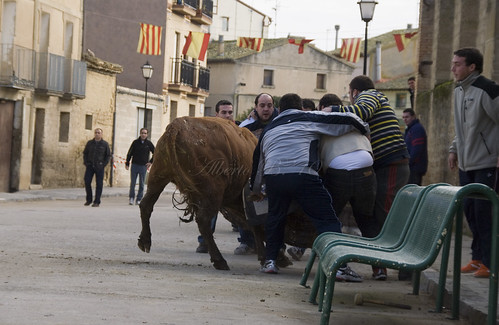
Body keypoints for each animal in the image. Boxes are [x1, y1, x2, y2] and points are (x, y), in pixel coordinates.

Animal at [139, 116, 260, 268]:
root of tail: (177, 125)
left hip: (158, 176)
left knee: (146, 205)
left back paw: (144, 241)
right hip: (213, 191)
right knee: (203, 221)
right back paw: (219, 260)